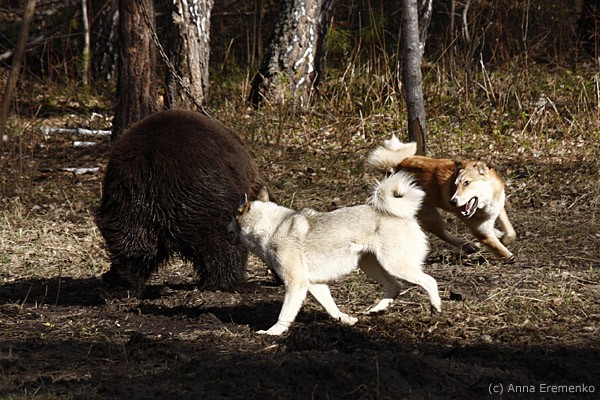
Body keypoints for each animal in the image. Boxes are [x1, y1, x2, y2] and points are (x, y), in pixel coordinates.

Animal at [228, 171, 442, 336]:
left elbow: (284, 314)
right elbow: (331, 308)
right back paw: (376, 310)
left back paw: (436, 307)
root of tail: (405, 215)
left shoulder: (295, 284)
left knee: (429, 281)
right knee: (395, 286)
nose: (225, 228)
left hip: (395, 265)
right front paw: (347, 320)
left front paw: (273, 332)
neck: (272, 227)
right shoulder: (315, 285)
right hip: (371, 265)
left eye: (233, 215)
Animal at [367, 135, 516, 259]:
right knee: (442, 233)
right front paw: (508, 255)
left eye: (466, 183)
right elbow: (498, 248)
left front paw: (504, 237)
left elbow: (510, 232)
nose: (453, 202)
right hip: (431, 216)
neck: (486, 203)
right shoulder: (481, 232)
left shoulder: (499, 208)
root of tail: (396, 167)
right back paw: (469, 246)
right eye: (455, 185)